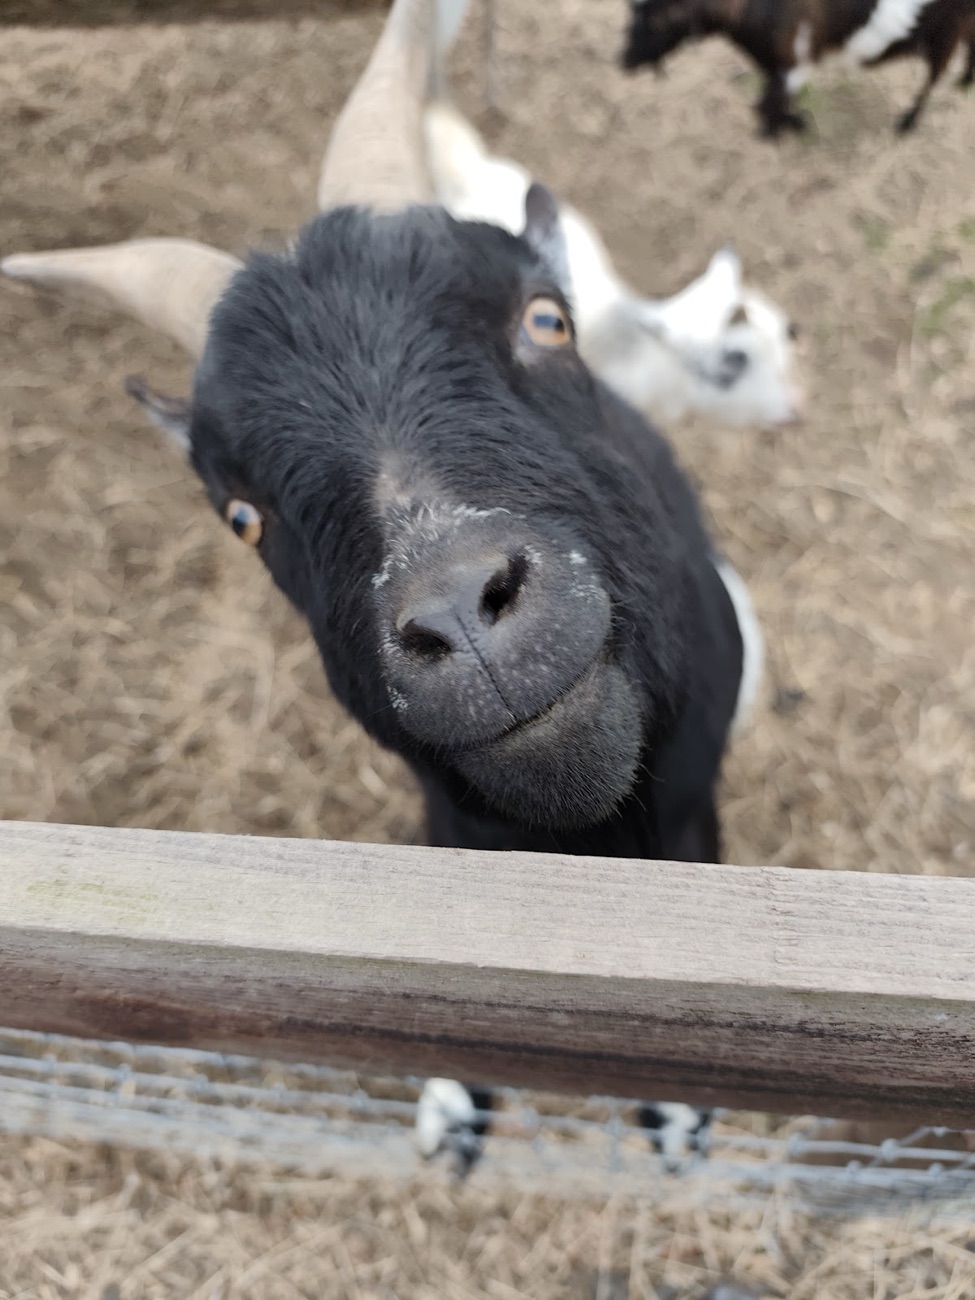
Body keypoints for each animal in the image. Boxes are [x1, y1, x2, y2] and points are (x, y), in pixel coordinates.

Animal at [621, 0, 975, 137]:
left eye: (659, 19)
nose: (624, 61)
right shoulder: (773, 63)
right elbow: (768, 102)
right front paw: (786, 125)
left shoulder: (794, 60)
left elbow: (769, 105)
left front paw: (789, 127)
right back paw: (965, 80)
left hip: (944, 31)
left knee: (933, 76)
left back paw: (907, 122)